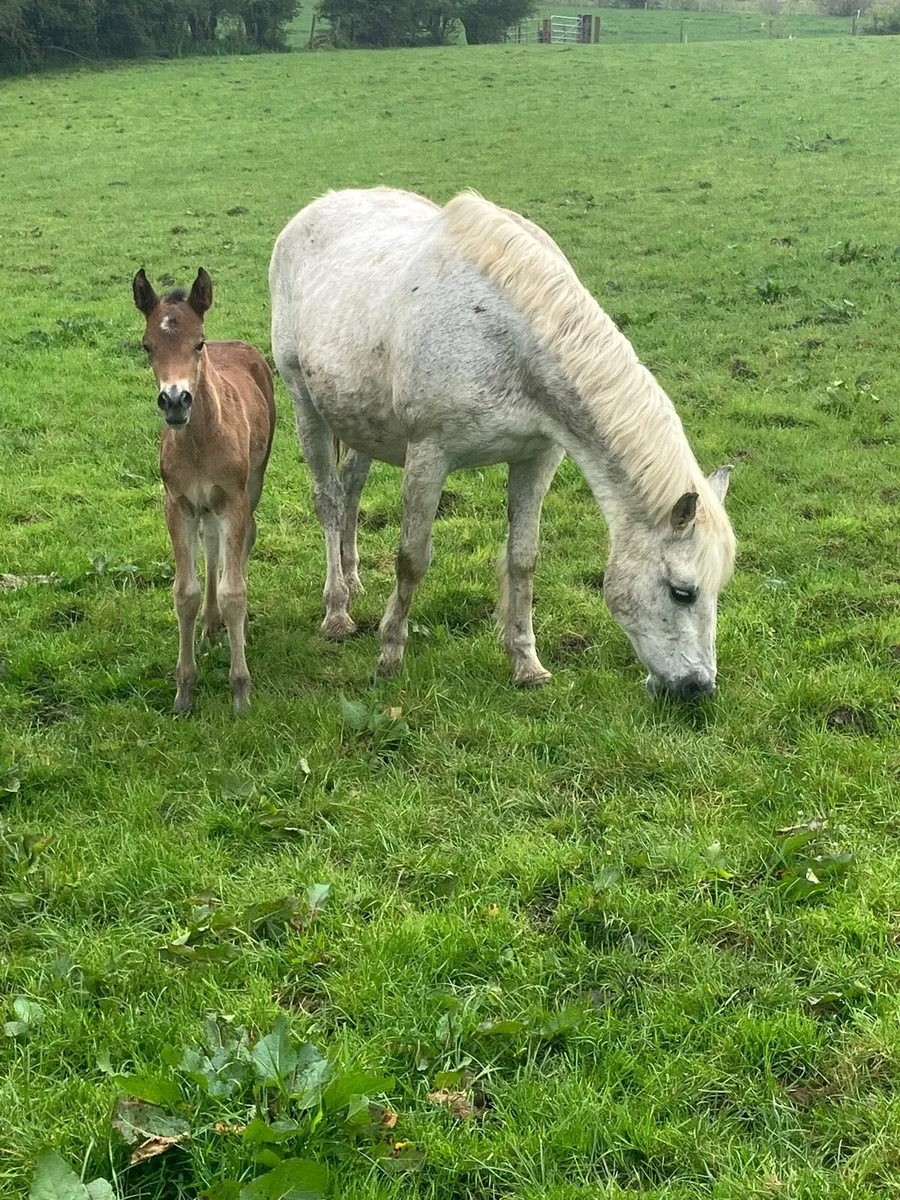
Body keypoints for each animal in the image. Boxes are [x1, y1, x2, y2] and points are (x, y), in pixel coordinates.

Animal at [133, 268, 275, 715]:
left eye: (198, 343)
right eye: (147, 345)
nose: (175, 401)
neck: (198, 442)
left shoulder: (234, 500)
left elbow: (235, 592)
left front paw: (241, 691)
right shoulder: (177, 505)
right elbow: (185, 594)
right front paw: (184, 690)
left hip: (253, 482)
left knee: (244, 540)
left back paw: (232, 628)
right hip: (203, 505)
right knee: (211, 544)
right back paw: (211, 624)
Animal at [269, 189, 735, 700]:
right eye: (682, 592)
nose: (697, 687)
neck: (508, 341)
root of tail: (314, 209)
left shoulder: (537, 458)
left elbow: (523, 561)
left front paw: (526, 664)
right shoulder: (428, 456)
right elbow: (412, 559)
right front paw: (389, 656)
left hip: (360, 419)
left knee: (352, 487)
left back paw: (353, 581)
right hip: (304, 401)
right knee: (329, 500)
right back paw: (337, 610)